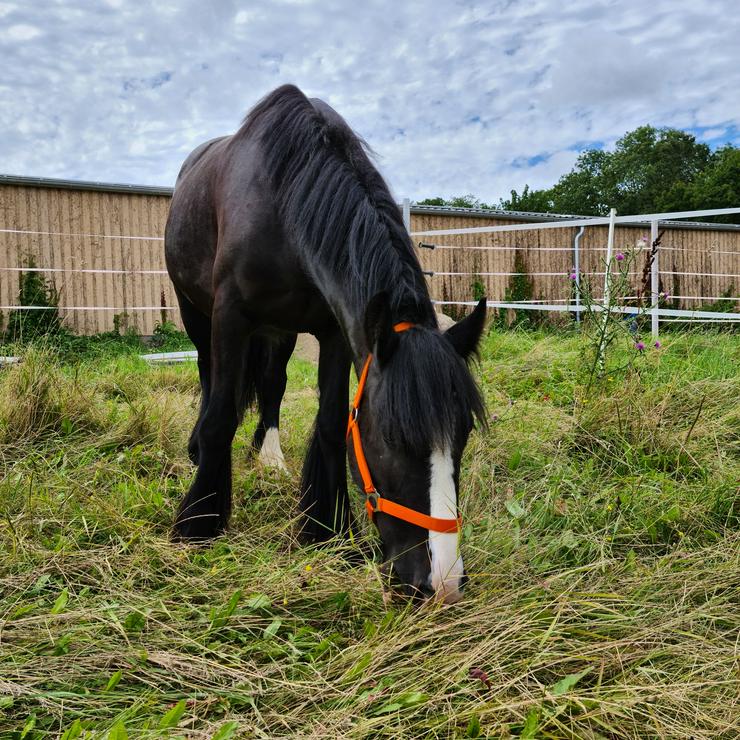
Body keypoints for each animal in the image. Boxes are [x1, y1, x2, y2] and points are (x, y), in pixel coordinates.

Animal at [165, 84, 486, 604]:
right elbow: (221, 416)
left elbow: (333, 424)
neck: (283, 203)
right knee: (210, 377)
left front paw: (326, 528)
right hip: (196, 313)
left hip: (279, 331)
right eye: (391, 437)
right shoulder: (230, 315)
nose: (442, 582)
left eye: (463, 435)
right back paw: (200, 450)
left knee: (272, 385)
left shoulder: (334, 330)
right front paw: (199, 522)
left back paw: (269, 457)